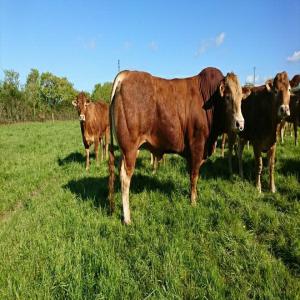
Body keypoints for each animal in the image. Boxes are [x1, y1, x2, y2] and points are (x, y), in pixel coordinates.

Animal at [108, 67, 246, 223]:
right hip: (130, 148)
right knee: (125, 178)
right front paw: (193, 202)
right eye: (227, 97)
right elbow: (194, 176)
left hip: (124, 150)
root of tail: (126, 74)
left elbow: (191, 176)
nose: (240, 124)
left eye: (241, 98)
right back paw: (127, 218)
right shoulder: (197, 147)